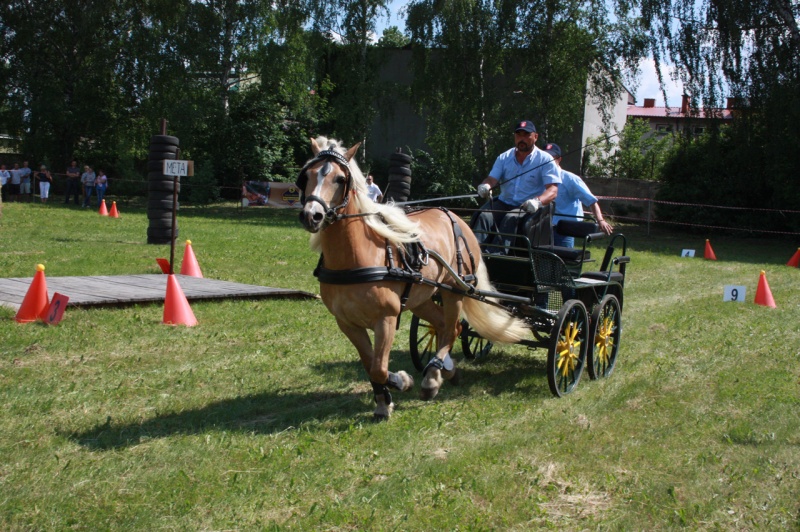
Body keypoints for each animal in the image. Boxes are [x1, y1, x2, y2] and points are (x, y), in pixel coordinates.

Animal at [297, 136, 528, 420]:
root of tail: (457, 218)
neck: (358, 257)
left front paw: (401, 382)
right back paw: (444, 371)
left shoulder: (386, 318)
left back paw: (432, 378)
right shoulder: (347, 323)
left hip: (454, 290)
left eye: (340, 179)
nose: (312, 215)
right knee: (442, 325)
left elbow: (379, 367)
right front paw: (383, 400)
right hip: (422, 298)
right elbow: (370, 365)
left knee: (452, 328)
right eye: (307, 175)